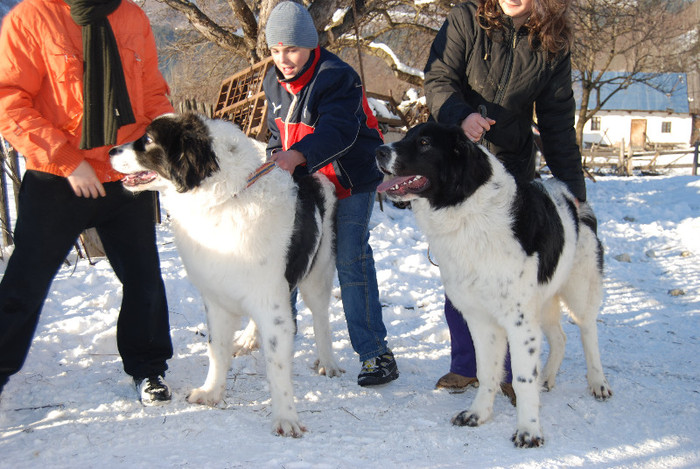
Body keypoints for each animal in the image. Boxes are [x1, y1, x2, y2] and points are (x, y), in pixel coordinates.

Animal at [107, 112, 344, 436]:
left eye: (149, 140)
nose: (110, 151)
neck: (224, 198)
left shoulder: (272, 304)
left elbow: (277, 365)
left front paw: (286, 418)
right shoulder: (218, 298)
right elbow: (216, 349)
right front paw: (212, 392)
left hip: (318, 274)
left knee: (321, 318)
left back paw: (328, 362)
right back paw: (248, 339)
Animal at [374, 122, 608, 448]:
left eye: (424, 143)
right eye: (407, 136)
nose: (379, 151)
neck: (468, 213)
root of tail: (574, 200)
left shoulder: (519, 321)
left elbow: (522, 378)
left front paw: (529, 430)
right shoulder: (481, 319)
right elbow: (486, 372)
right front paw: (479, 414)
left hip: (579, 291)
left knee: (588, 333)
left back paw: (598, 382)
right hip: (544, 300)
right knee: (560, 337)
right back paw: (548, 378)